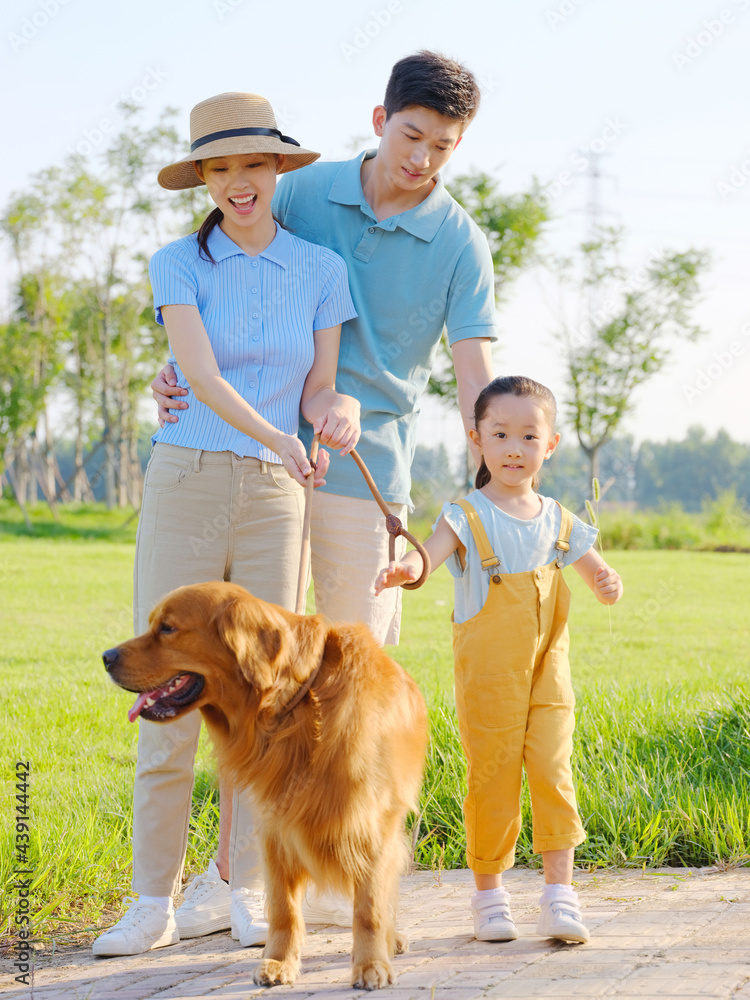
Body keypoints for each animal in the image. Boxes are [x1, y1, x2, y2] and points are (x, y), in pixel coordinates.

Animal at [103, 584, 428, 988]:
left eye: (167, 628)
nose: (106, 657)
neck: (295, 705)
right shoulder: (276, 829)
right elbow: (283, 910)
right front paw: (279, 962)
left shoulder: (368, 826)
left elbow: (369, 907)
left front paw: (370, 964)